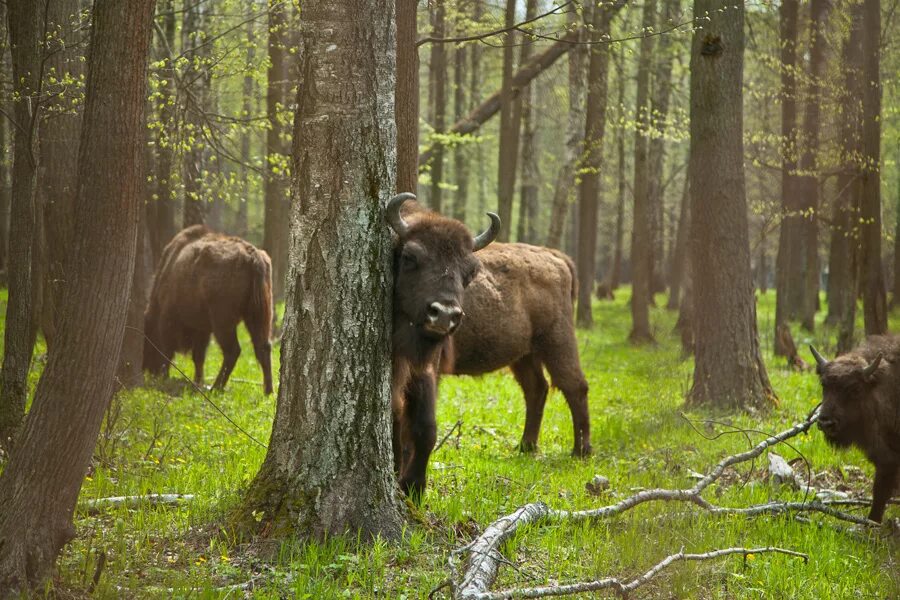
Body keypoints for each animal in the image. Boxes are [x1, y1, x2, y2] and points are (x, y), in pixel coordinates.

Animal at [141, 225, 272, 394]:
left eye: (147, 336)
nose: (146, 368)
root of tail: (253, 257)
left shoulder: (169, 321)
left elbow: (168, 351)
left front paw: (165, 378)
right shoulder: (202, 329)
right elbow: (198, 357)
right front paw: (198, 381)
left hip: (223, 322)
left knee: (233, 350)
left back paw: (216, 387)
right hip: (258, 315)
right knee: (263, 346)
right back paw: (268, 391)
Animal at [386, 193, 500, 496]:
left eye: (470, 271)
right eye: (410, 257)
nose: (445, 314)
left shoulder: (424, 370)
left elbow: (426, 427)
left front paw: (414, 486)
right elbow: (396, 417)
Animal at [442, 243, 592, 454]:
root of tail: (555, 256)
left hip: (556, 341)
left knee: (574, 385)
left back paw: (580, 451)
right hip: (525, 355)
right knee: (537, 388)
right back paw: (526, 445)